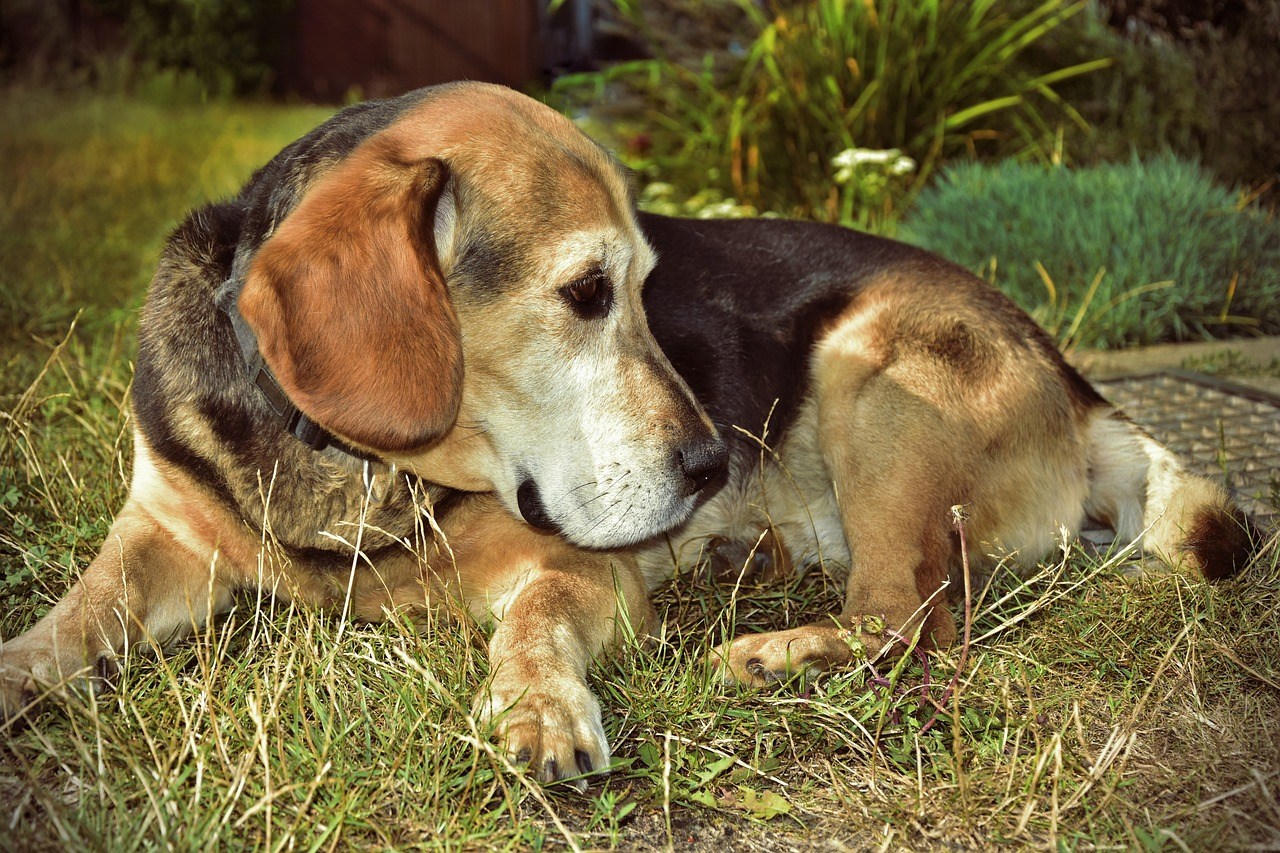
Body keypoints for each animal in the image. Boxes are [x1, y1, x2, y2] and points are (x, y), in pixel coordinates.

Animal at [0, 83, 1249, 788]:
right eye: (587, 292)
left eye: (649, 287)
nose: (709, 468)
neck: (353, 459)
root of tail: (1074, 377)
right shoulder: (159, 534)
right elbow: (68, 624)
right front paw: (18, 672)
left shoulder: (573, 567)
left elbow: (533, 622)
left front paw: (536, 707)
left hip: (876, 375)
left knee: (915, 626)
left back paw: (772, 646)